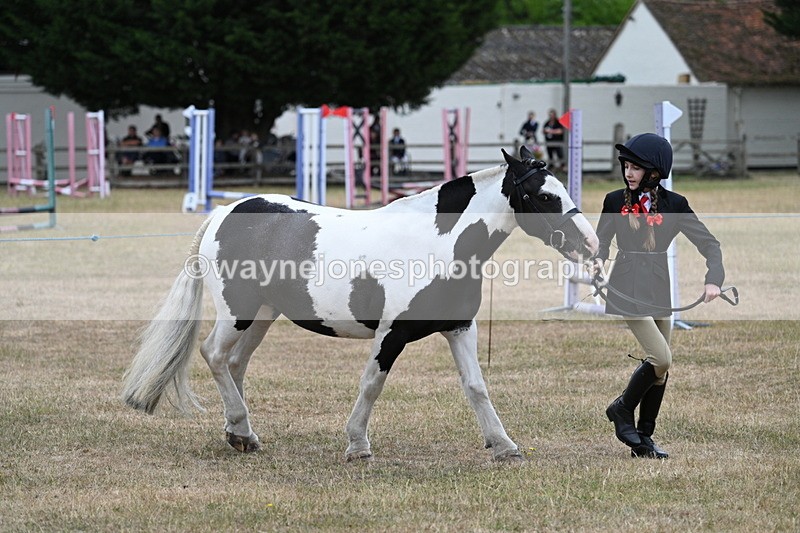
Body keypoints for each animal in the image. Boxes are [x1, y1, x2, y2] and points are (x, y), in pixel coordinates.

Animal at [122, 146, 599, 462]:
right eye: (544, 196)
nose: (590, 244)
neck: (438, 244)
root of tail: (225, 212)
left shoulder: (460, 327)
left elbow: (476, 386)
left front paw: (503, 445)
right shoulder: (392, 334)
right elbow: (372, 384)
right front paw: (357, 445)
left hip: (262, 316)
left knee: (235, 364)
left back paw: (240, 433)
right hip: (237, 312)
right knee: (215, 355)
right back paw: (242, 428)